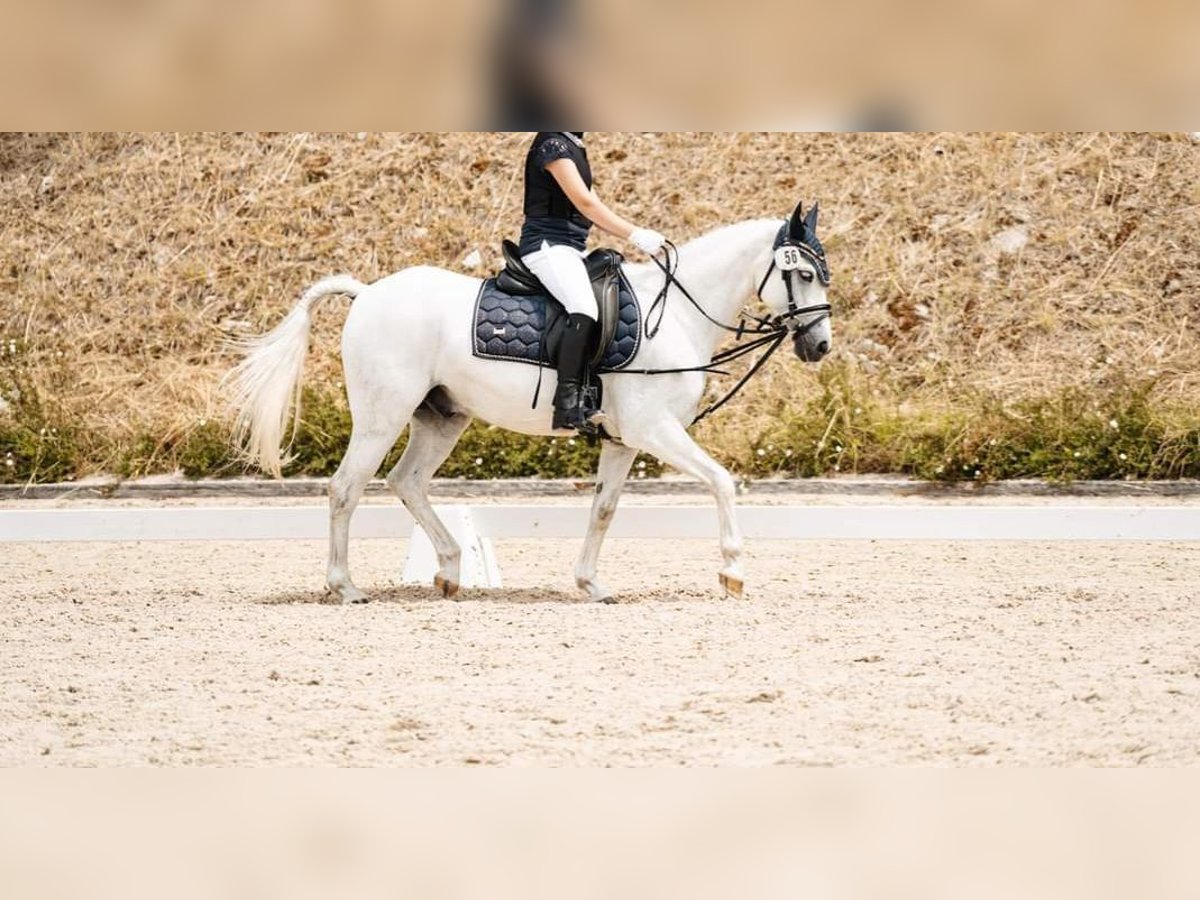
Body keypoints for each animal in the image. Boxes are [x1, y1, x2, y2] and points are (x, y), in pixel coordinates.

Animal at [225, 200, 830, 602]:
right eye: (801, 273)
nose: (820, 346)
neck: (677, 314)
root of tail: (369, 292)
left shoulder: (623, 441)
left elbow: (604, 509)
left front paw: (590, 583)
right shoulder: (653, 430)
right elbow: (722, 480)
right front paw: (733, 572)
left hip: (441, 418)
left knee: (407, 482)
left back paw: (450, 571)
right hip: (382, 416)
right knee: (345, 488)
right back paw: (345, 586)